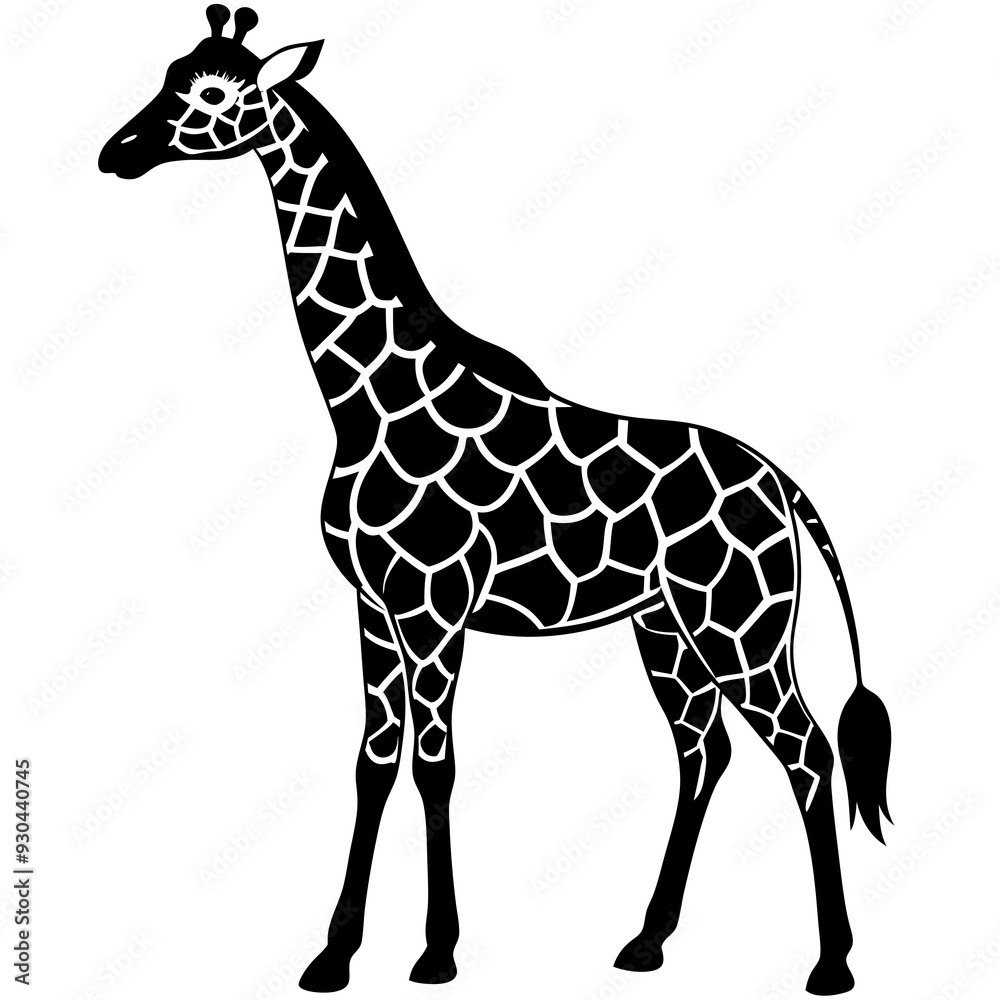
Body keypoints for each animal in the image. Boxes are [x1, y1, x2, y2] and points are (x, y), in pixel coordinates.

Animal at [99, 8, 893, 995]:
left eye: (212, 92)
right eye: (169, 72)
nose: (117, 153)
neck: (370, 400)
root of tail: (785, 485)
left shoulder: (436, 607)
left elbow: (435, 764)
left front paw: (436, 951)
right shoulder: (373, 606)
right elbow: (374, 761)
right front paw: (333, 955)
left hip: (739, 625)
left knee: (806, 751)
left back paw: (831, 962)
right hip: (666, 627)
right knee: (703, 749)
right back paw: (647, 941)